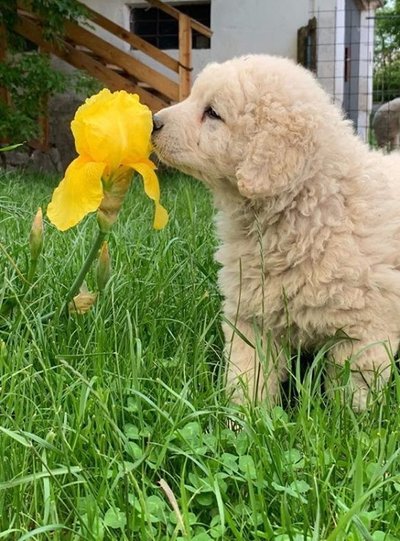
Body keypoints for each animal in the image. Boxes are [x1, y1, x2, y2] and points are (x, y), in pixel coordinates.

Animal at [152, 54, 400, 410]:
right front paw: (244, 417)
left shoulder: (363, 330)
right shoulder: (253, 317)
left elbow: (352, 390)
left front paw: (349, 420)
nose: (152, 122)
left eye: (213, 113)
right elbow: (248, 376)